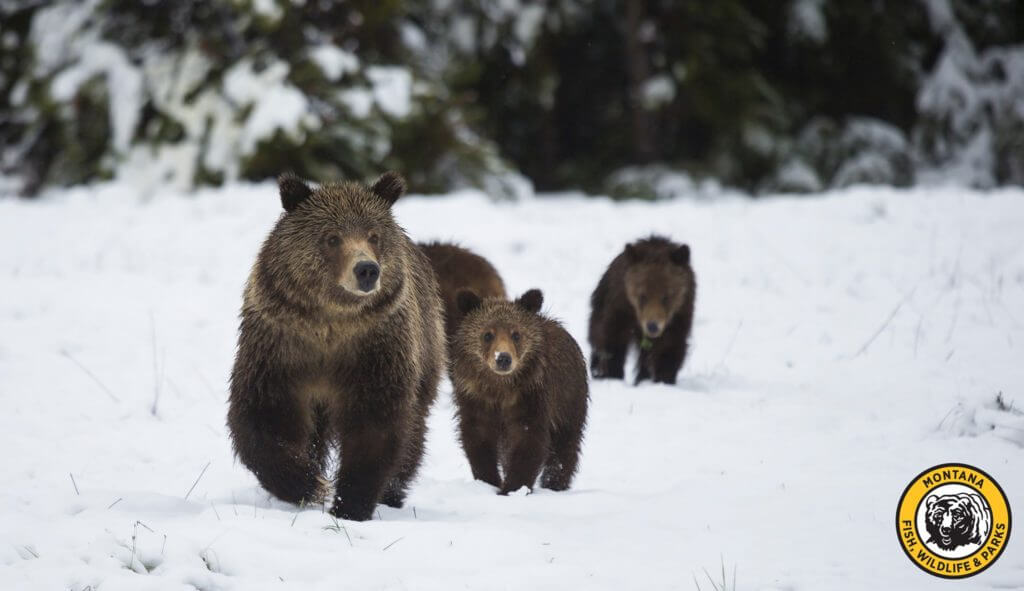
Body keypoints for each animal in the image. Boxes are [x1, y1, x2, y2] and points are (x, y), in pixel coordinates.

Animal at [228, 170, 444, 520]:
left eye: (373, 235)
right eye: (332, 237)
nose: (367, 269)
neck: (330, 324)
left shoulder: (374, 351)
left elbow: (375, 426)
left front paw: (350, 503)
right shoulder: (280, 348)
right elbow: (264, 417)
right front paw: (308, 484)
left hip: (426, 346)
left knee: (414, 428)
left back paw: (393, 492)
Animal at [452, 286, 589, 493]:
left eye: (516, 334)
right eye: (487, 334)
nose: (503, 358)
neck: (500, 389)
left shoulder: (531, 397)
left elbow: (529, 441)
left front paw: (512, 488)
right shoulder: (475, 398)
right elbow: (478, 439)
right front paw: (488, 481)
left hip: (569, 399)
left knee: (566, 444)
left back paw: (555, 483)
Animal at [585, 236, 696, 387]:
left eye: (667, 297)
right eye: (642, 296)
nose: (652, 326)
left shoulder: (679, 316)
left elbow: (669, 349)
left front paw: (663, 379)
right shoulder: (620, 308)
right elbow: (612, 340)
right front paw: (612, 374)